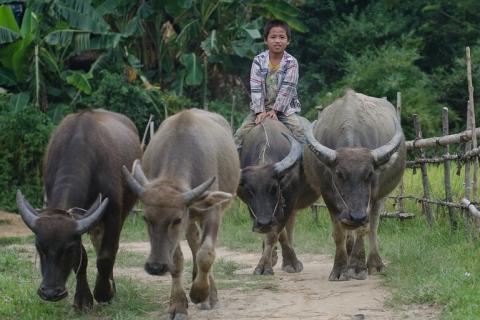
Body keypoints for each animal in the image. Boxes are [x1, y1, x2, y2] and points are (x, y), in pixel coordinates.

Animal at [16, 109, 141, 310]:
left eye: (68, 249)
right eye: (39, 248)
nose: (50, 293)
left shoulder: (113, 214)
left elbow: (106, 256)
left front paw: (103, 293)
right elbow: (83, 261)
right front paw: (82, 300)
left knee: (109, 250)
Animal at [122, 109, 238, 318]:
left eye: (176, 219)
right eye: (145, 218)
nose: (155, 267)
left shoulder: (211, 212)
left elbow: (206, 253)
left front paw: (200, 293)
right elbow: (177, 260)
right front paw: (178, 304)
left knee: (202, 248)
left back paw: (210, 296)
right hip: (191, 219)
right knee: (194, 241)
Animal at [236, 118, 318, 276]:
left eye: (273, 188)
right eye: (249, 191)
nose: (264, 223)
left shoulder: (289, 200)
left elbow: (275, 234)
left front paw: (268, 266)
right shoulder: (255, 211)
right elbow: (278, 233)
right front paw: (270, 261)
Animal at [304, 90, 404, 280]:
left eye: (370, 174)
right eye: (339, 174)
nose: (356, 216)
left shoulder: (371, 197)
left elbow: (364, 229)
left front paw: (357, 267)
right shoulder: (328, 196)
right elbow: (338, 233)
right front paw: (340, 268)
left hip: (380, 197)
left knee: (373, 225)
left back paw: (374, 263)